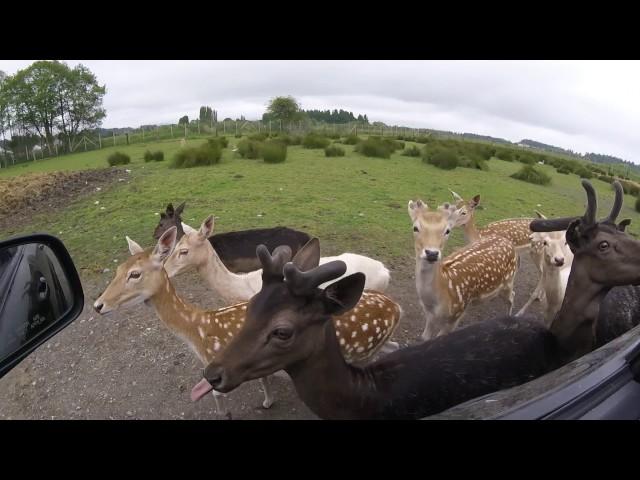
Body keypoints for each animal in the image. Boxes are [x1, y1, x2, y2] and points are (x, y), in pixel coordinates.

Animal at [93, 228, 402, 416]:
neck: (198, 328)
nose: (98, 305)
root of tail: (395, 305)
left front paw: (230, 412)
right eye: (118, 269)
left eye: (135, 274)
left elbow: (218, 396)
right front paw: (267, 401)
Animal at [410, 199, 520, 342]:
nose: (432, 253)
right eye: (415, 228)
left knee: (511, 297)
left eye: (447, 230)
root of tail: (508, 242)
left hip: (509, 280)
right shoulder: (428, 314)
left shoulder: (458, 313)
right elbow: (425, 338)